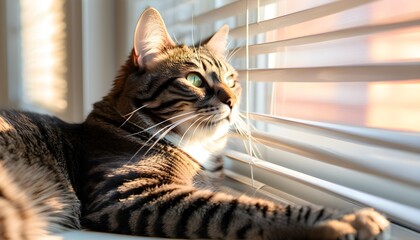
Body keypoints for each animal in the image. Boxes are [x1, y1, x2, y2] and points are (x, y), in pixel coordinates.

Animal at [1, 6, 392, 239]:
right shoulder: (129, 193)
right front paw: (338, 219)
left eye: (232, 79)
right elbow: (241, 208)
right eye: (195, 80)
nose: (233, 101)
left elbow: (238, 196)